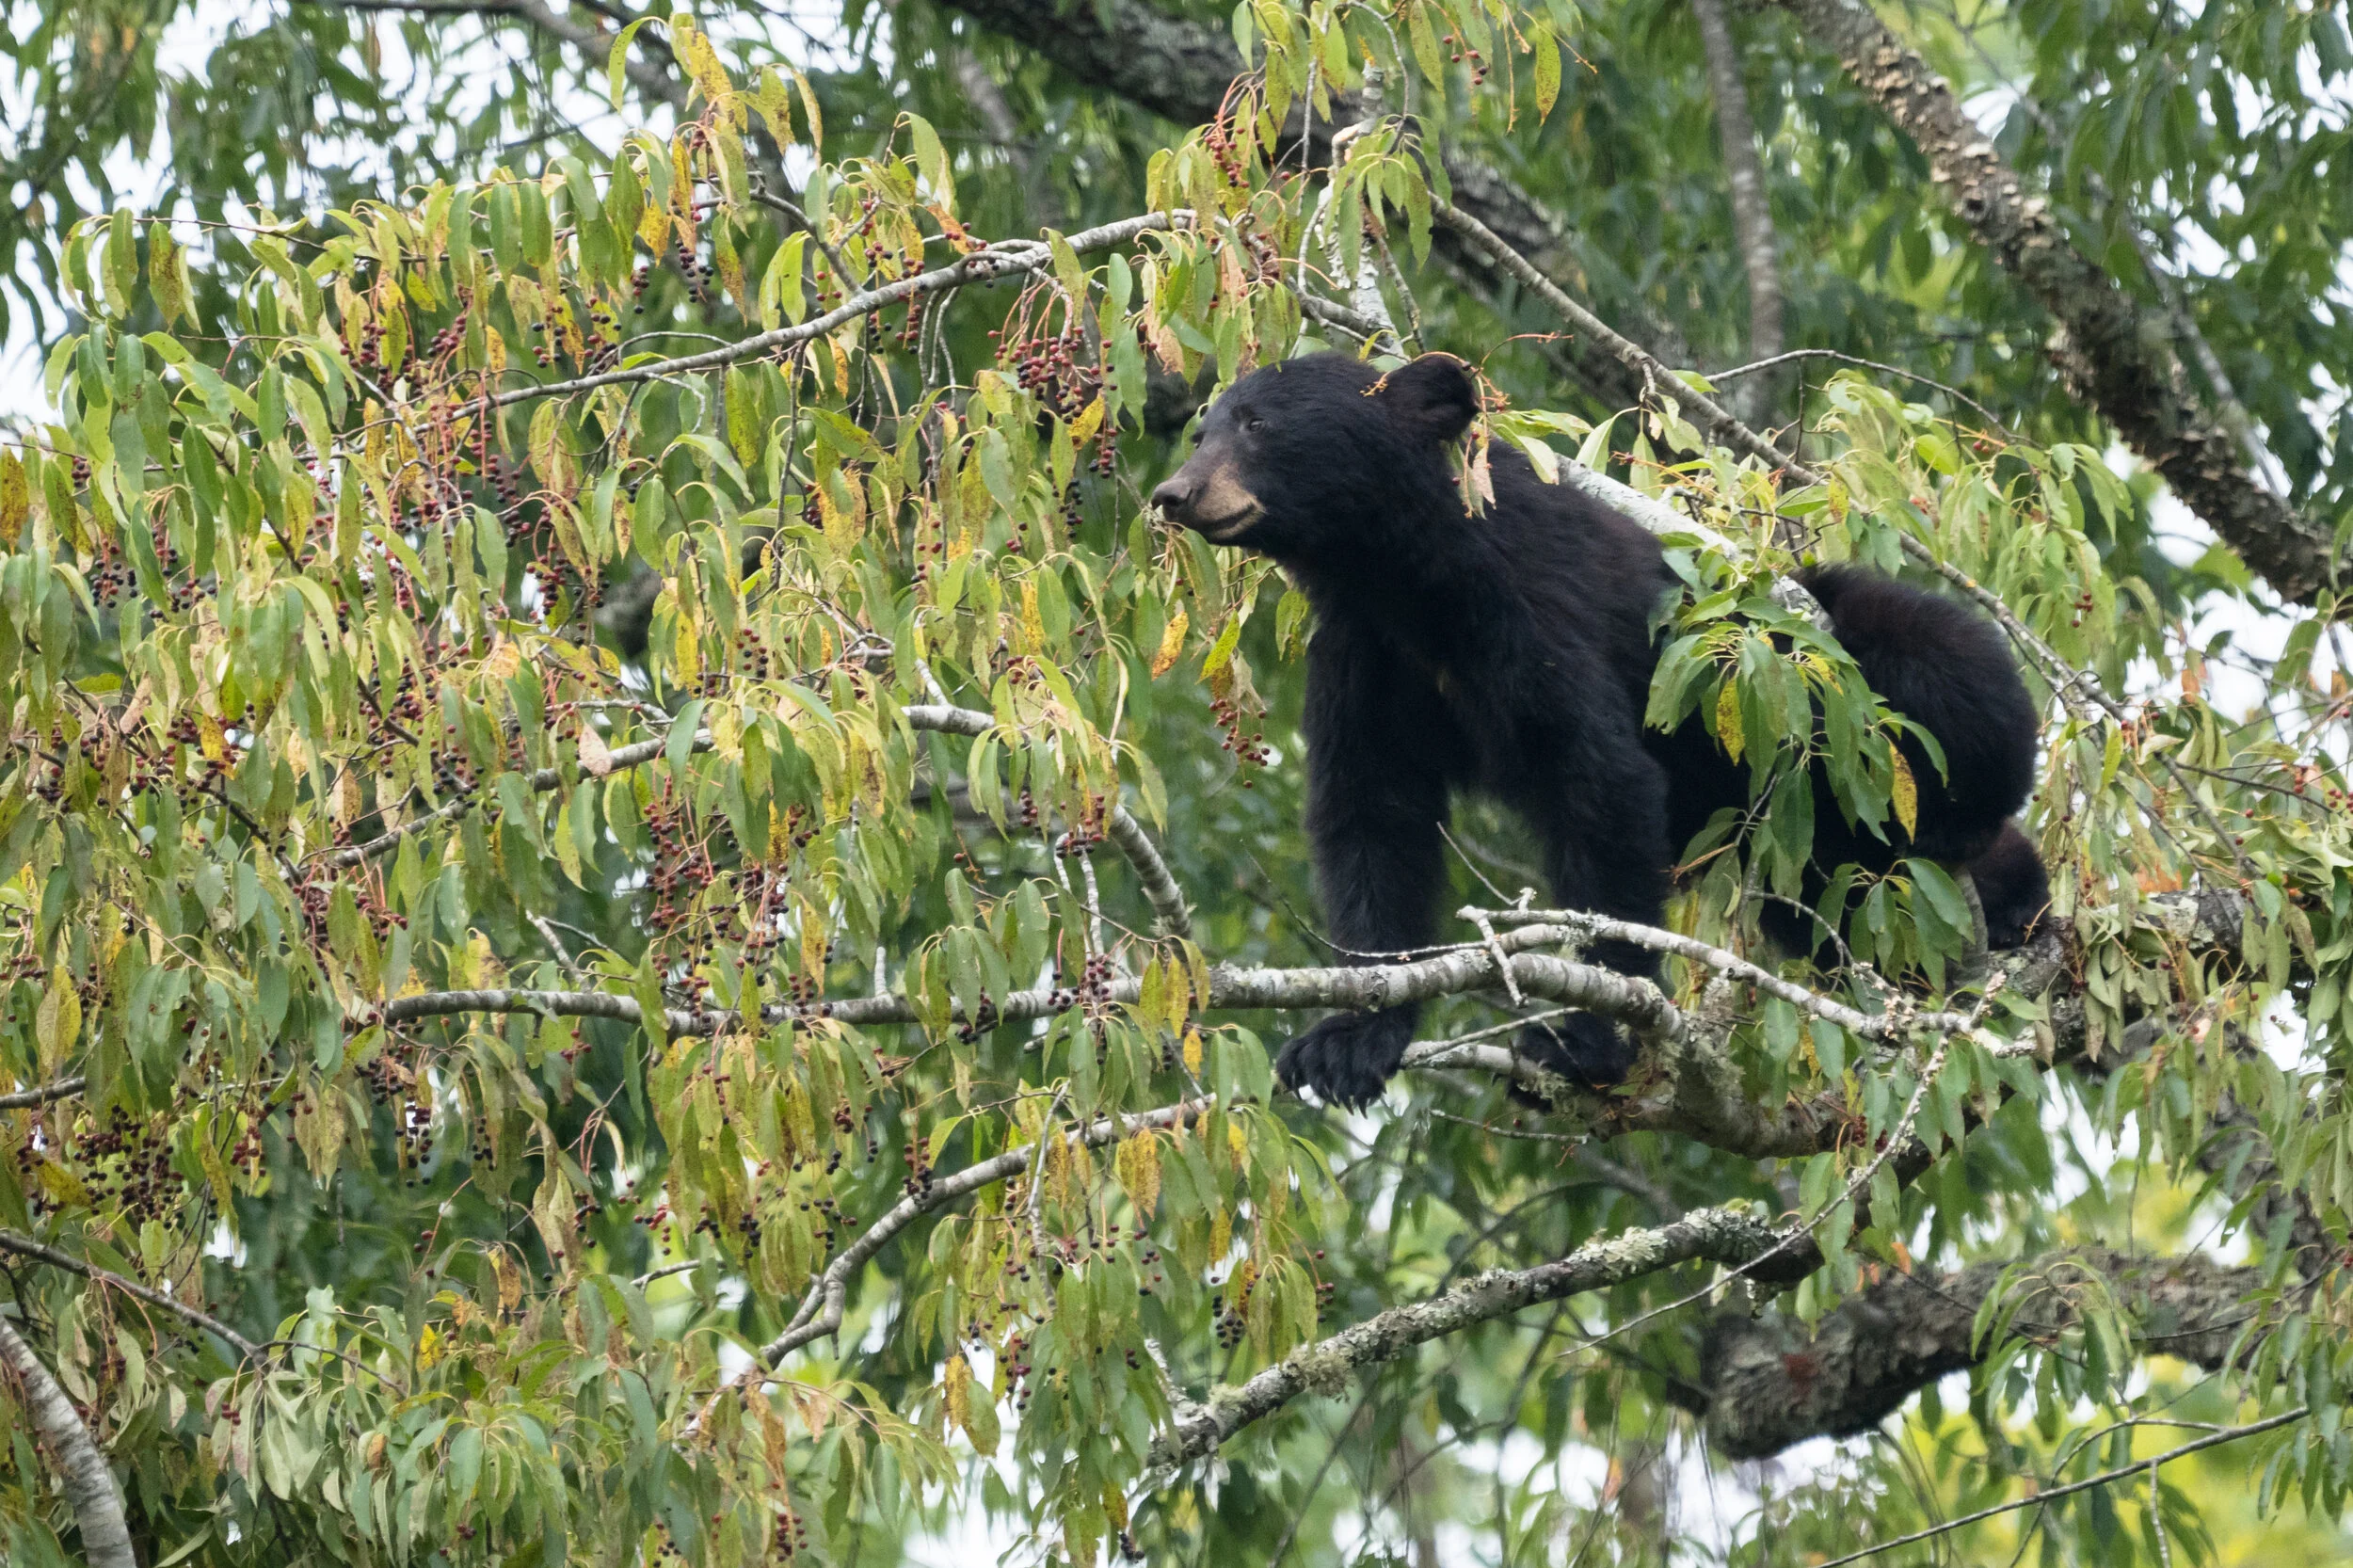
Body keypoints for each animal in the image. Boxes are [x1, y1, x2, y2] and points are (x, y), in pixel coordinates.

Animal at [1147, 351, 2047, 1109]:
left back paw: (1989, 854)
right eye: (1202, 429)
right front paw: (1350, 1039)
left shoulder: (1532, 612)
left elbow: (1597, 782)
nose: (1174, 494)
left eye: (1259, 422)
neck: (1408, 580)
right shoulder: (1365, 656)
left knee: (1949, 667)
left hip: (1823, 661)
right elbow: (1373, 818)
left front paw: (1588, 1039)